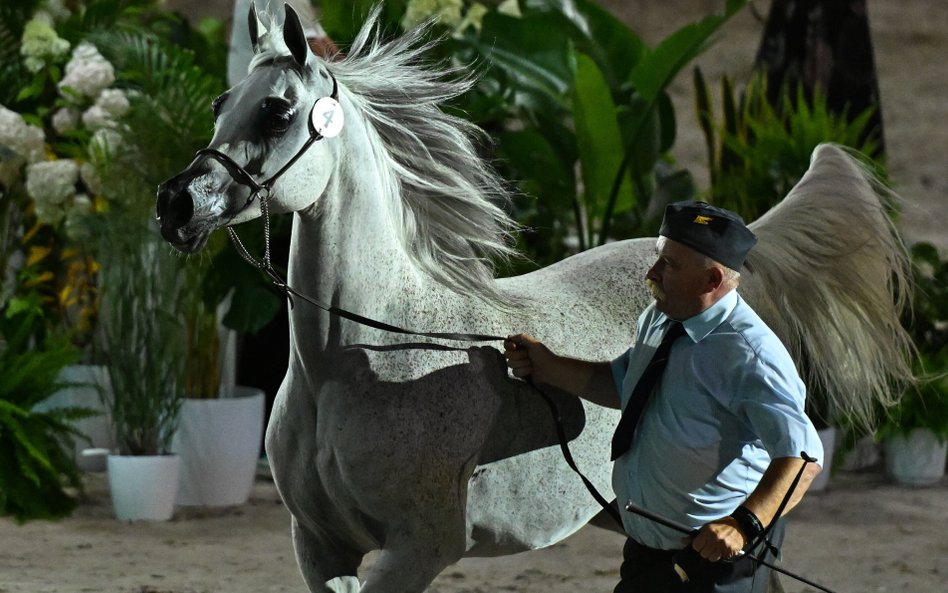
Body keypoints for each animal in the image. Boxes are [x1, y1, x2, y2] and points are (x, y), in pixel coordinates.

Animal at [156, 5, 912, 592]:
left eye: (277, 109)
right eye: (223, 104)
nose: (174, 204)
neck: (364, 357)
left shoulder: (416, 551)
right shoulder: (319, 548)